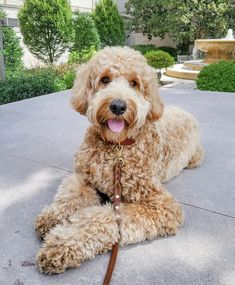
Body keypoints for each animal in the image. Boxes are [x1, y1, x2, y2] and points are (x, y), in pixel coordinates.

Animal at [35, 46, 204, 272]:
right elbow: (68, 195)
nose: (118, 106)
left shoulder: (162, 206)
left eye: (134, 83)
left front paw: (61, 243)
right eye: (105, 79)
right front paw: (52, 217)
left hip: (195, 158)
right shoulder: (82, 177)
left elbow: (103, 217)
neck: (117, 148)